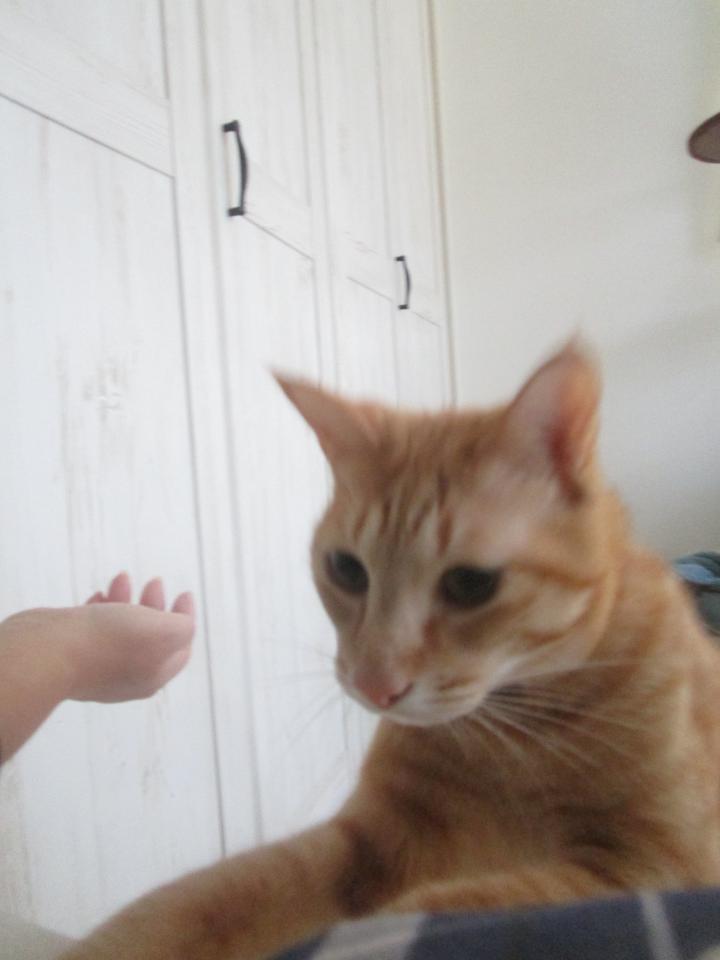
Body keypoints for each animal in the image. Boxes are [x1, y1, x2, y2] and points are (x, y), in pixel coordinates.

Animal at [62, 343, 720, 960]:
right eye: (347, 570)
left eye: (471, 585)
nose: (373, 684)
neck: (518, 733)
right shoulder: (372, 837)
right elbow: (207, 899)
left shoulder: (654, 866)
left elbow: (423, 915)